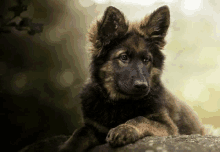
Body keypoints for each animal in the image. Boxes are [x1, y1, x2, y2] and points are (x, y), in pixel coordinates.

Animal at [59, 5, 205, 151]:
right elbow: (80, 133)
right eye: (124, 57)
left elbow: (140, 119)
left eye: (146, 60)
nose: (142, 86)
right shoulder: (95, 128)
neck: (120, 103)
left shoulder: (168, 126)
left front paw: (124, 129)